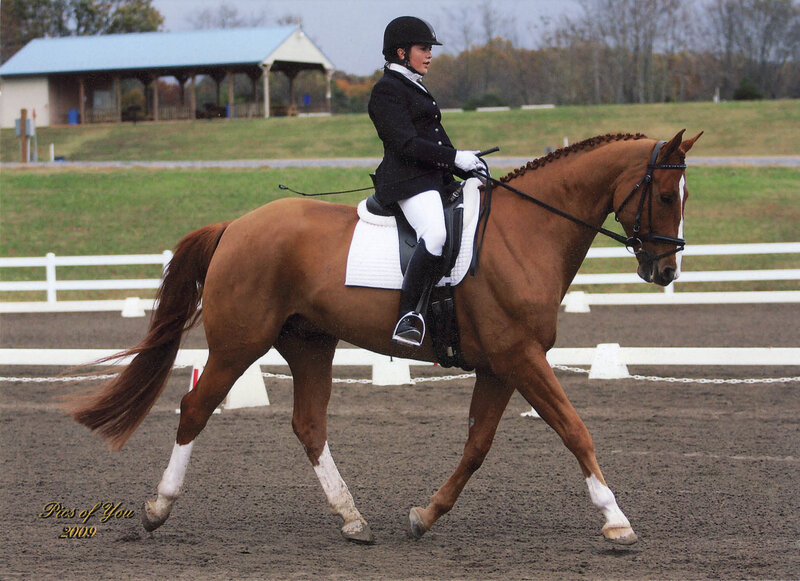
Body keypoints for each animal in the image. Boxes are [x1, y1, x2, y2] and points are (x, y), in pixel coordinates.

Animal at [67, 129, 702, 545]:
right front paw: (616, 520)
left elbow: (477, 447)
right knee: (195, 408)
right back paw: (157, 509)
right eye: (665, 196)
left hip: (309, 343)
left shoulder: (501, 365)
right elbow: (575, 430)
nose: (665, 271)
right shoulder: (520, 357)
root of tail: (236, 226)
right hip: (236, 344)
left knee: (309, 425)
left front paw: (425, 515)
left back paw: (352, 519)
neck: (527, 232)